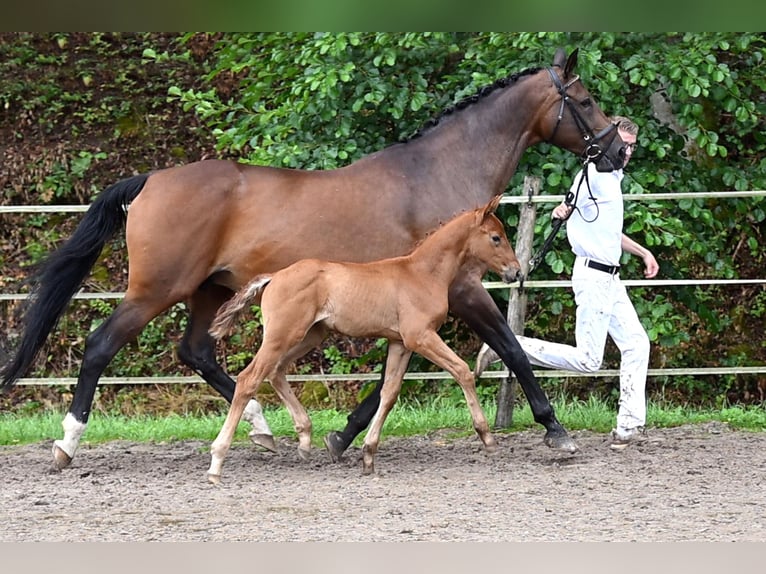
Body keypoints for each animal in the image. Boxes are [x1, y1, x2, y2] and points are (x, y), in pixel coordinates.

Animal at [206, 196, 519, 482]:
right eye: (496, 237)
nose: (516, 271)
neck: (422, 274)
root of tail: (274, 276)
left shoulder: (400, 343)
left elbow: (389, 393)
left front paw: (368, 455)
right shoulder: (420, 337)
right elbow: (462, 371)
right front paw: (487, 438)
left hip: (309, 335)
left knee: (276, 371)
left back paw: (305, 440)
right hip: (283, 334)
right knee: (249, 379)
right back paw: (217, 463)